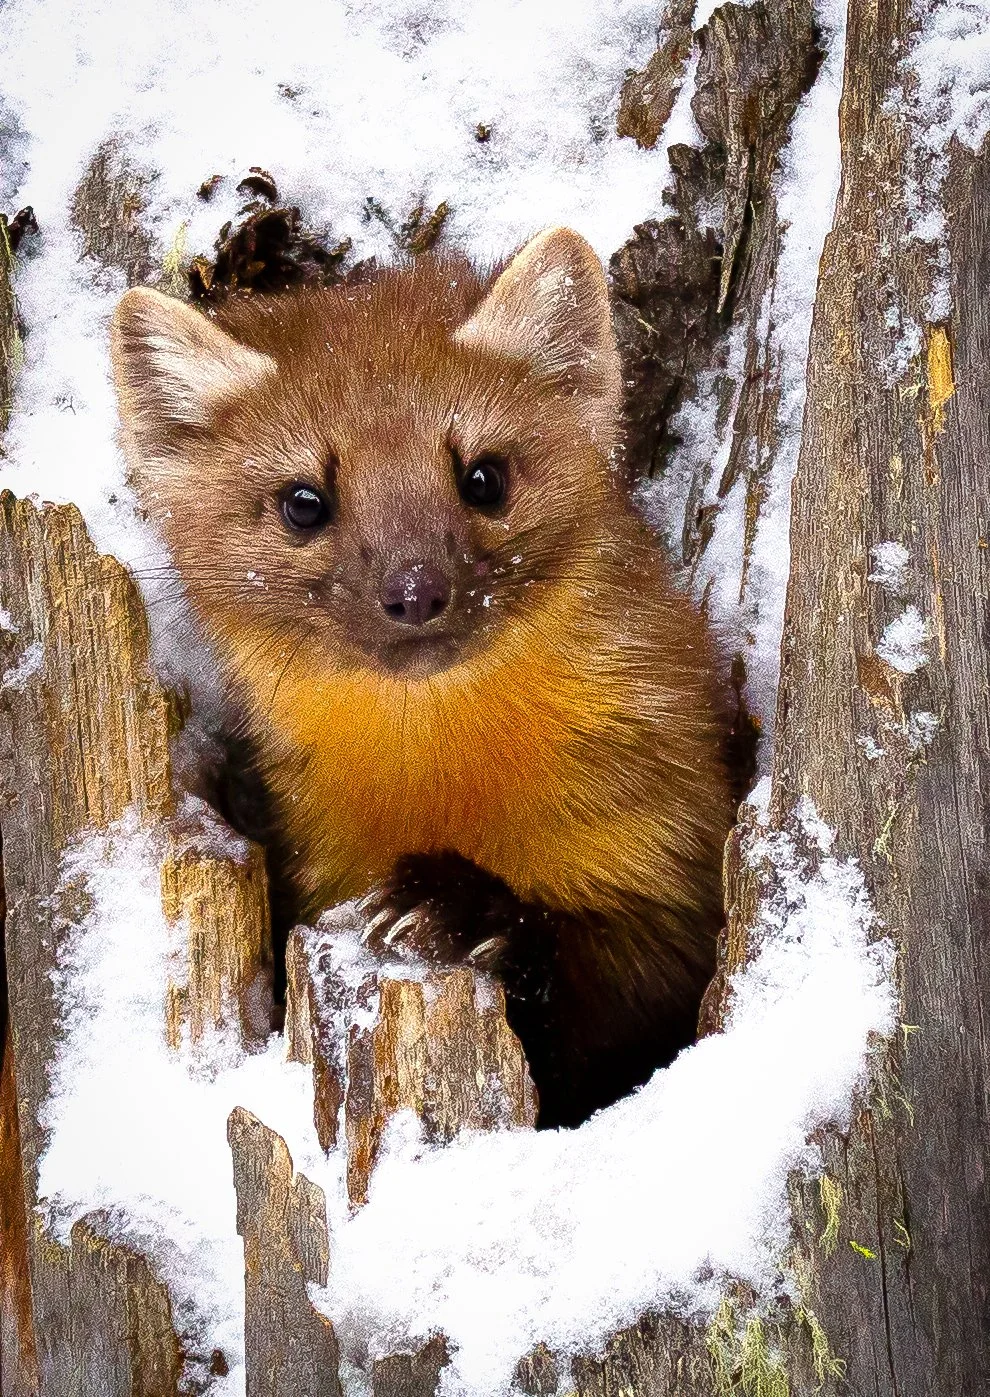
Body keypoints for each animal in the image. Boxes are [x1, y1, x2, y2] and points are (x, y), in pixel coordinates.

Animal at [111, 227, 733, 1127]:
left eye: (484, 475)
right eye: (303, 500)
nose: (415, 587)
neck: (444, 782)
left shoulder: (668, 840)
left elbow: (628, 998)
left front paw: (449, 909)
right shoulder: (318, 853)